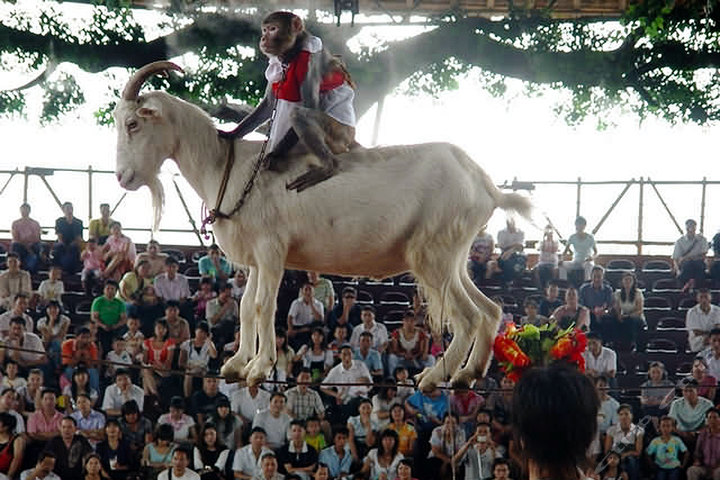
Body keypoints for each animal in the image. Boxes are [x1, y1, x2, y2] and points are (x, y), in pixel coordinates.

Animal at [115, 62, 532, 390]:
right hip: (452, 256)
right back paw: (467, 374)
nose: (122, 176)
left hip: (431, 253)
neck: (227, 167)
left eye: (133, 123)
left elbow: (265, 306)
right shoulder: (255, 258)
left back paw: (434, 377)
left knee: (468, 316)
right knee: (490, 310)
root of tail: (486, 186)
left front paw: (258, 368)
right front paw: (237, 364)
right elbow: (247, 306)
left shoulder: (272, 250)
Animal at [217, 11, 358, 191]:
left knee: (299, 114)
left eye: (273, 29)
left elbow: (309, 105)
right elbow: (270, 104)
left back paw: (329, 166)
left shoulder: (309, 59)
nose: (263, 38)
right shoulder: (276, 64)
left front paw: (273, 155)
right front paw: (232, 133)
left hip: (340, 135)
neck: (293, 51)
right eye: (265, 30)